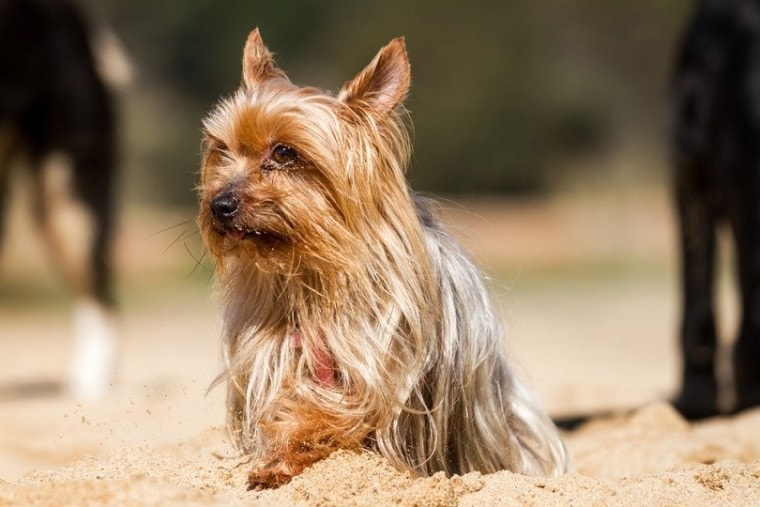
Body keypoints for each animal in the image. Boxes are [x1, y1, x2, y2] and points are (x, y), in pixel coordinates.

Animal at [199, 27, 568, 488]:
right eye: (222, 150)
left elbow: (332, 411)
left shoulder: (379, 365)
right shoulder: (279, 350)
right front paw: (276, 459)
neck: (314, 269)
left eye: (284, 153)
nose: (220, 205)